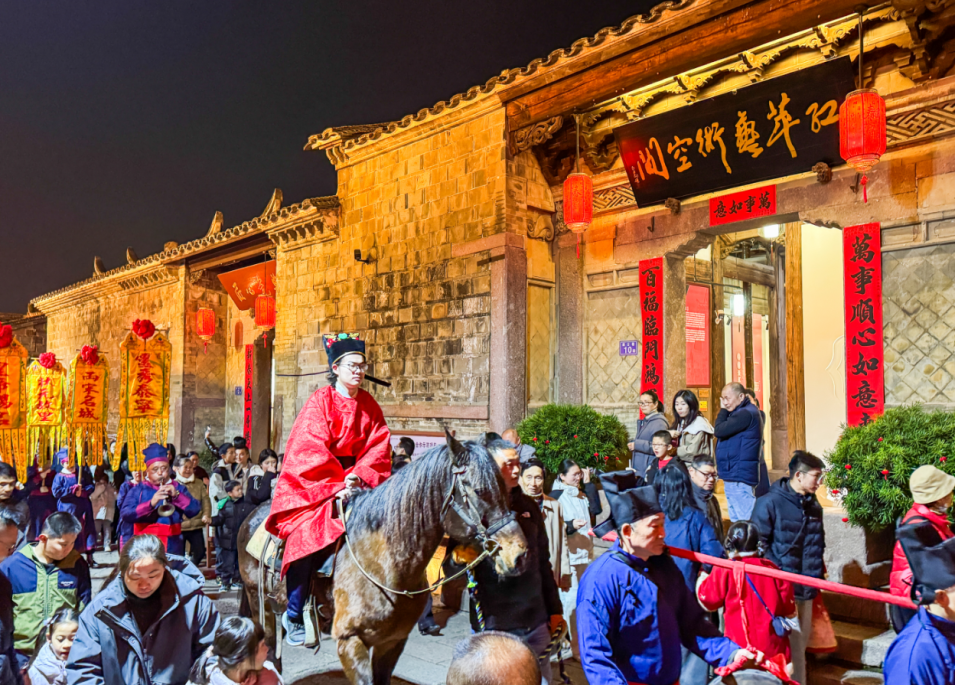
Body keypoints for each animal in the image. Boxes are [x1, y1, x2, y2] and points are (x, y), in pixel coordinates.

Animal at [236, 431, 529, 685]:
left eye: (505, 488)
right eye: (479, 491)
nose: (519, 554)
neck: (386, 564)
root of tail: (252, 517)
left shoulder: (392, 641)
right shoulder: (349, 641)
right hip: (256, 598)